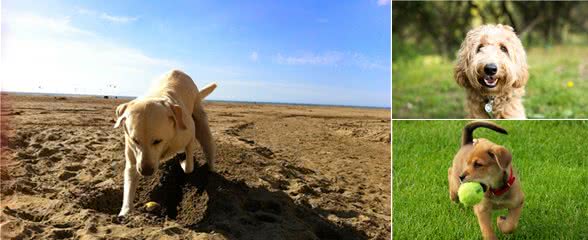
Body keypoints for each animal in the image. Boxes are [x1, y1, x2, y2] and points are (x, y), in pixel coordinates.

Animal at [113, 69, 217, 218]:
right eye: (135, 140)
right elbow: (129, 185)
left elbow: (189, 166)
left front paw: (183, 162)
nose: (146, 172)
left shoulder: (189, 135)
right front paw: (124, 213)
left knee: (208, 146)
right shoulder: (133, 159)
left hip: (201, 123)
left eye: (157, 141)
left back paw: (210, 173)